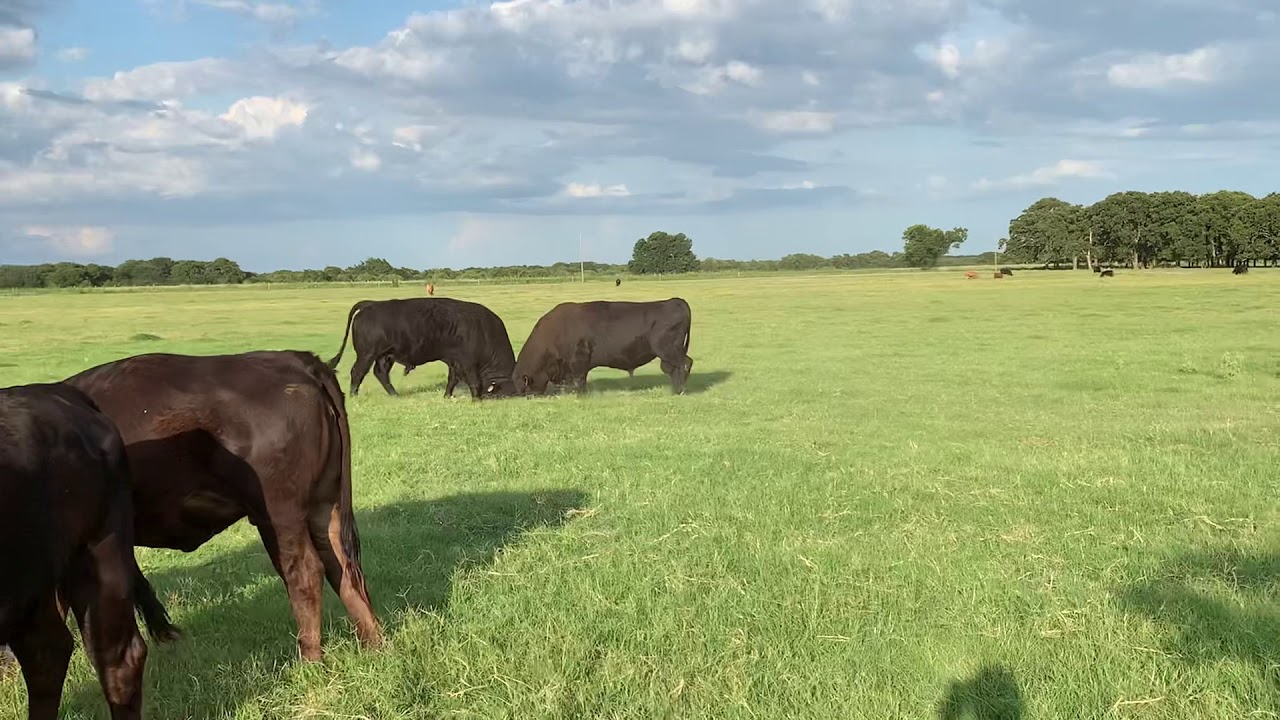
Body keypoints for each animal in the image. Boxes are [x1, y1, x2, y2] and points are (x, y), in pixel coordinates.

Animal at [62, 350, 383, 662]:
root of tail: (296, 360)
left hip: (280, 514)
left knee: (305, 571)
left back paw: (309, 659)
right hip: (323, 505)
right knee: (342, 567)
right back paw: (374, 644)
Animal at [326, 297, 518, 399]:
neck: (484, 331)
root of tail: (370, 304)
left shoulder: (454, 362)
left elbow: (452, 380)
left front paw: (447, 396)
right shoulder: (468, 363)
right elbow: (474, 382)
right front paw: (476, 400)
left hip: (385, 356)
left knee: (380, 373)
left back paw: (395, 395)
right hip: (367, 354)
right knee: (357, 372)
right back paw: (354, 396)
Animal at [514, 298, 693, 395]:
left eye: (525, 388)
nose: (529, 397)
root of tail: (676, 301)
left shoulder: (579, 360)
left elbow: (580, 380)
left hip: (668, 350)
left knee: (684, 364)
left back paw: (680, 390)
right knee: (673, 368)